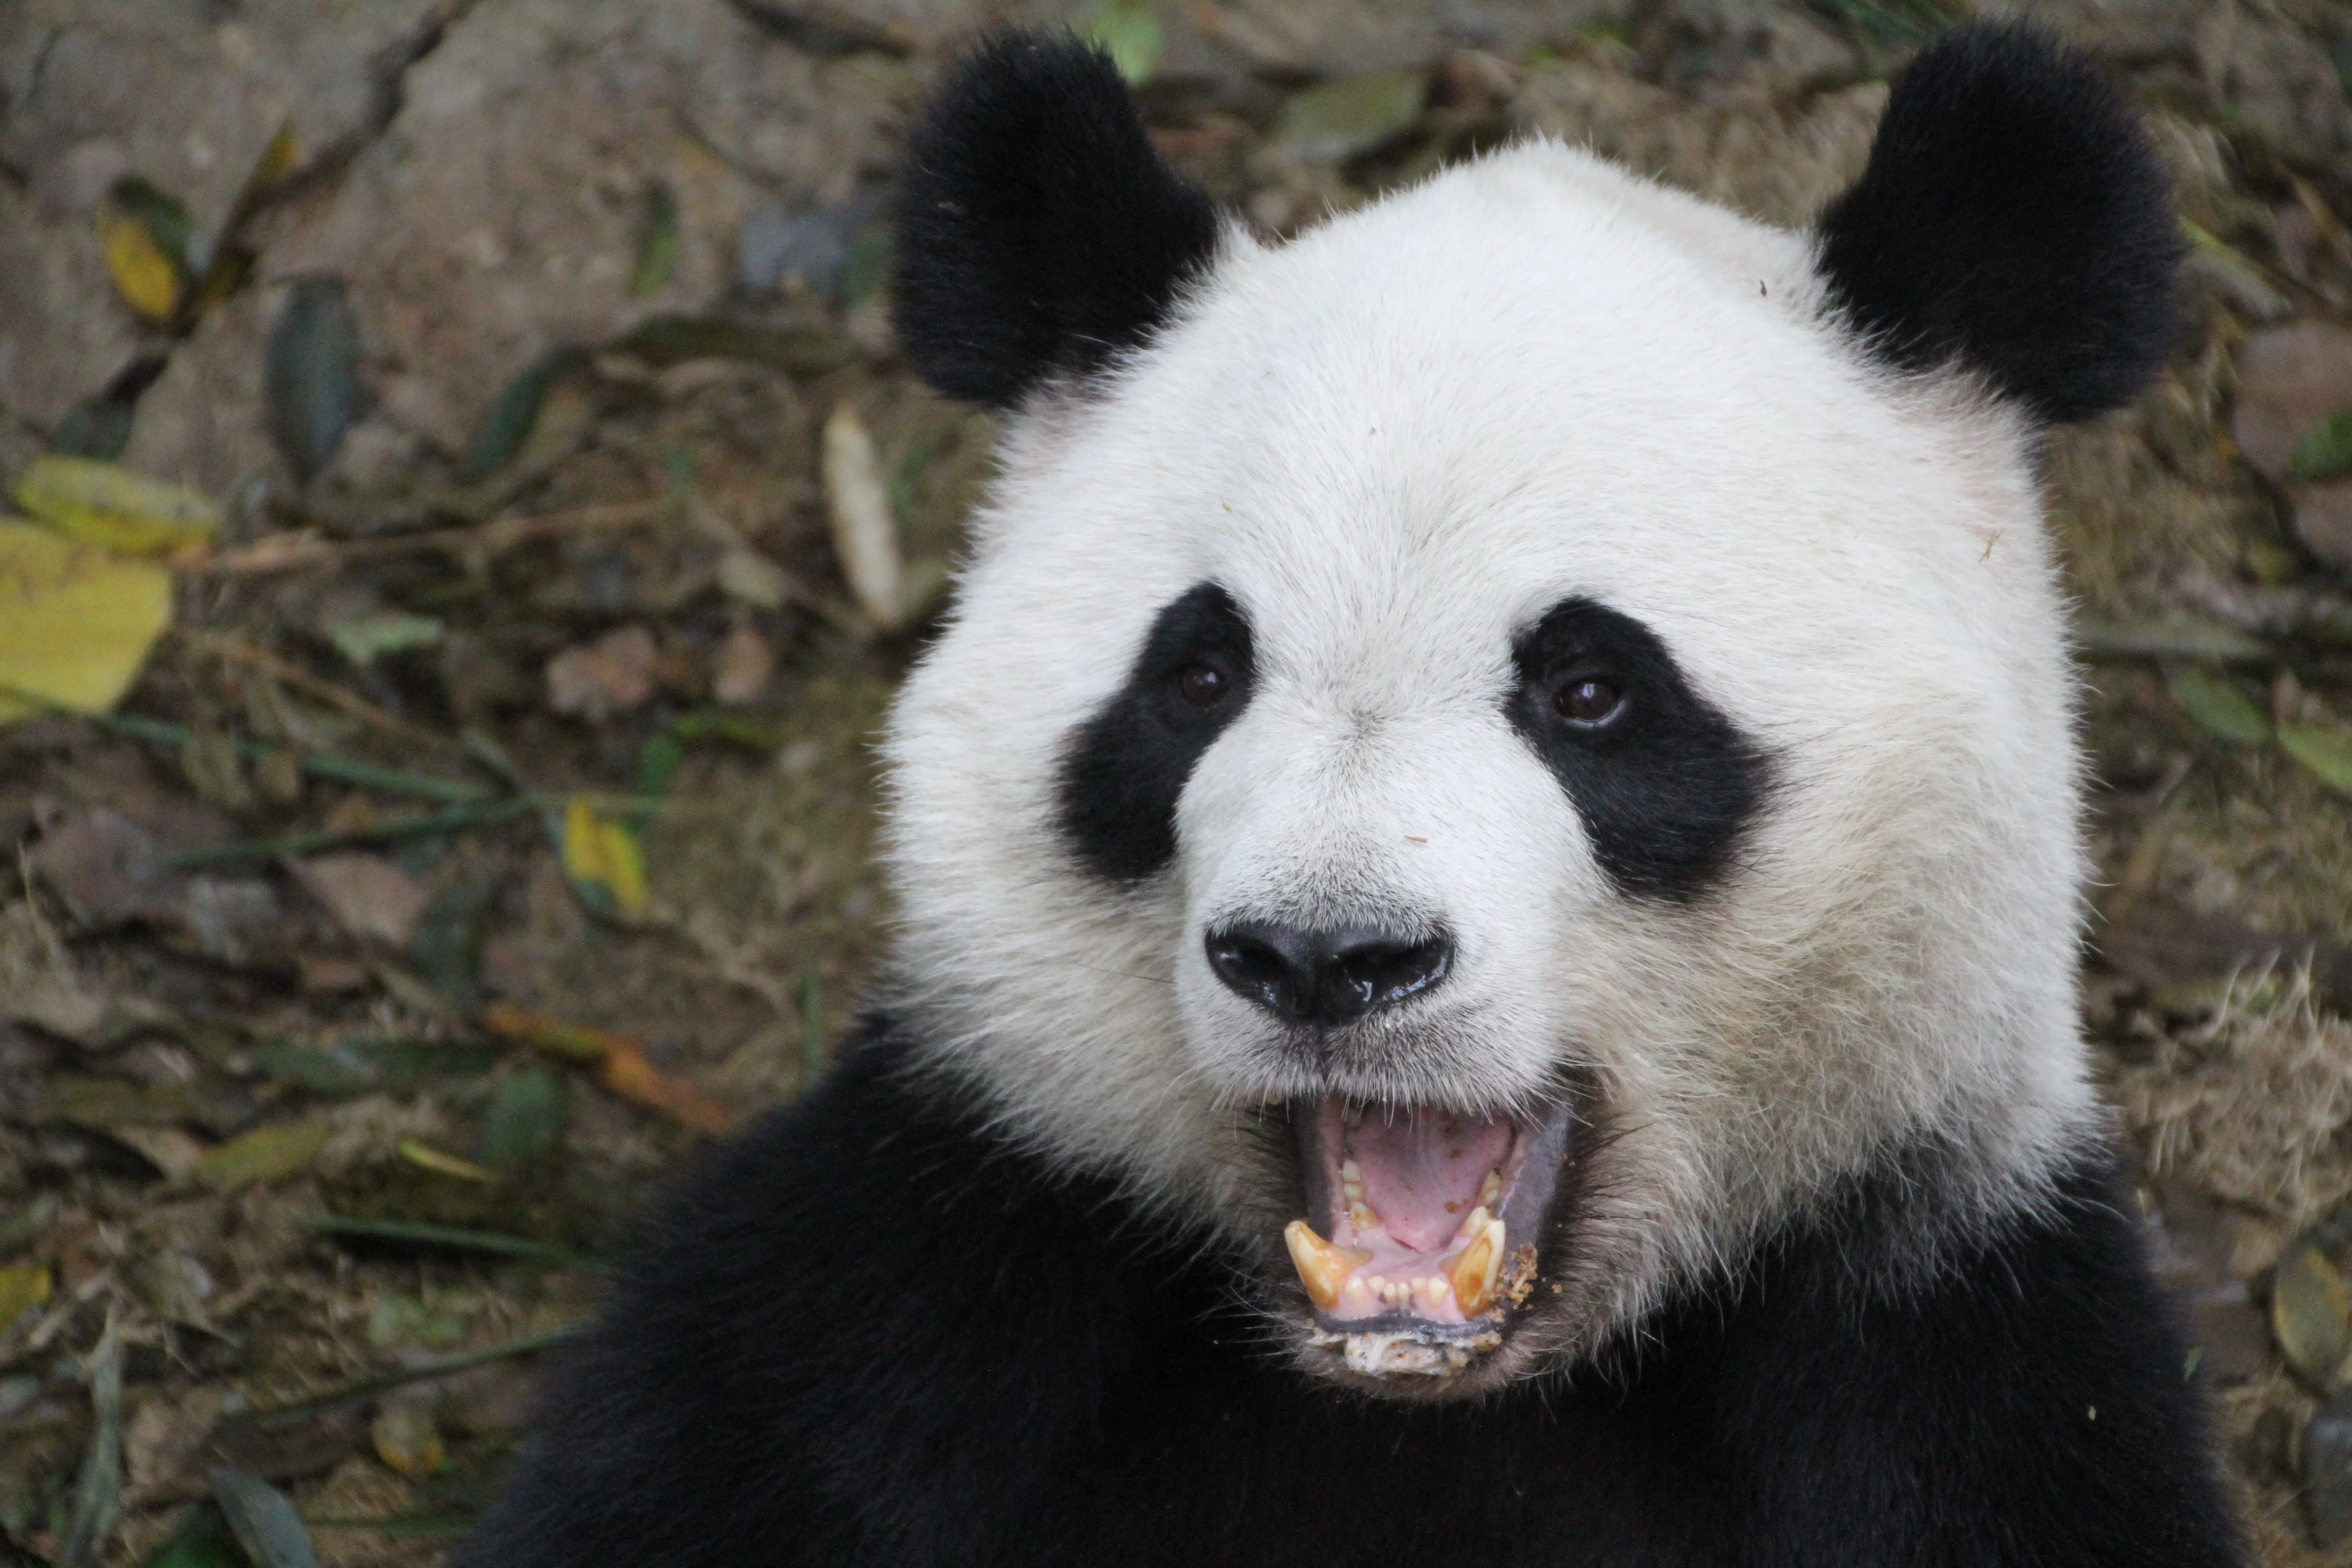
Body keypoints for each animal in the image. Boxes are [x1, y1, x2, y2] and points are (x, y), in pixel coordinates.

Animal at [461, 21, 2243, 1567]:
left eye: (1592, 692)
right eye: (1199, 675)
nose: (1327, 958)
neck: (1419, 1395)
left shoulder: (1952, 1343)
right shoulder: (917, 1261)